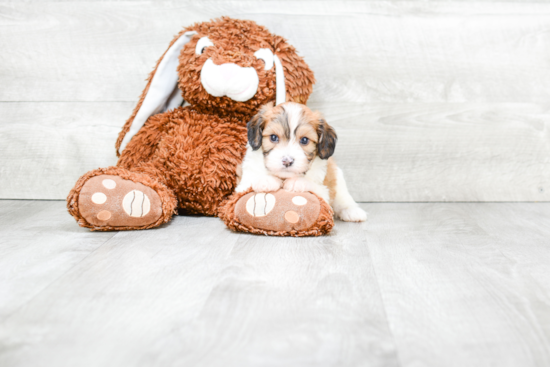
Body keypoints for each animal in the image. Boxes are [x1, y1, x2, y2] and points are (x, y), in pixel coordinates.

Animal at [236, 100, 368, 223]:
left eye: (304, 140)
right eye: (273, 137)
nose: (287, 161)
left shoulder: (323, 191)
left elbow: (313, 186)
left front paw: (297, 182)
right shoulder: (243, 183)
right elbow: (251, 180)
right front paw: (266, 180)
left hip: (337, 177)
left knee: (342, 196)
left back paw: (352, 211)